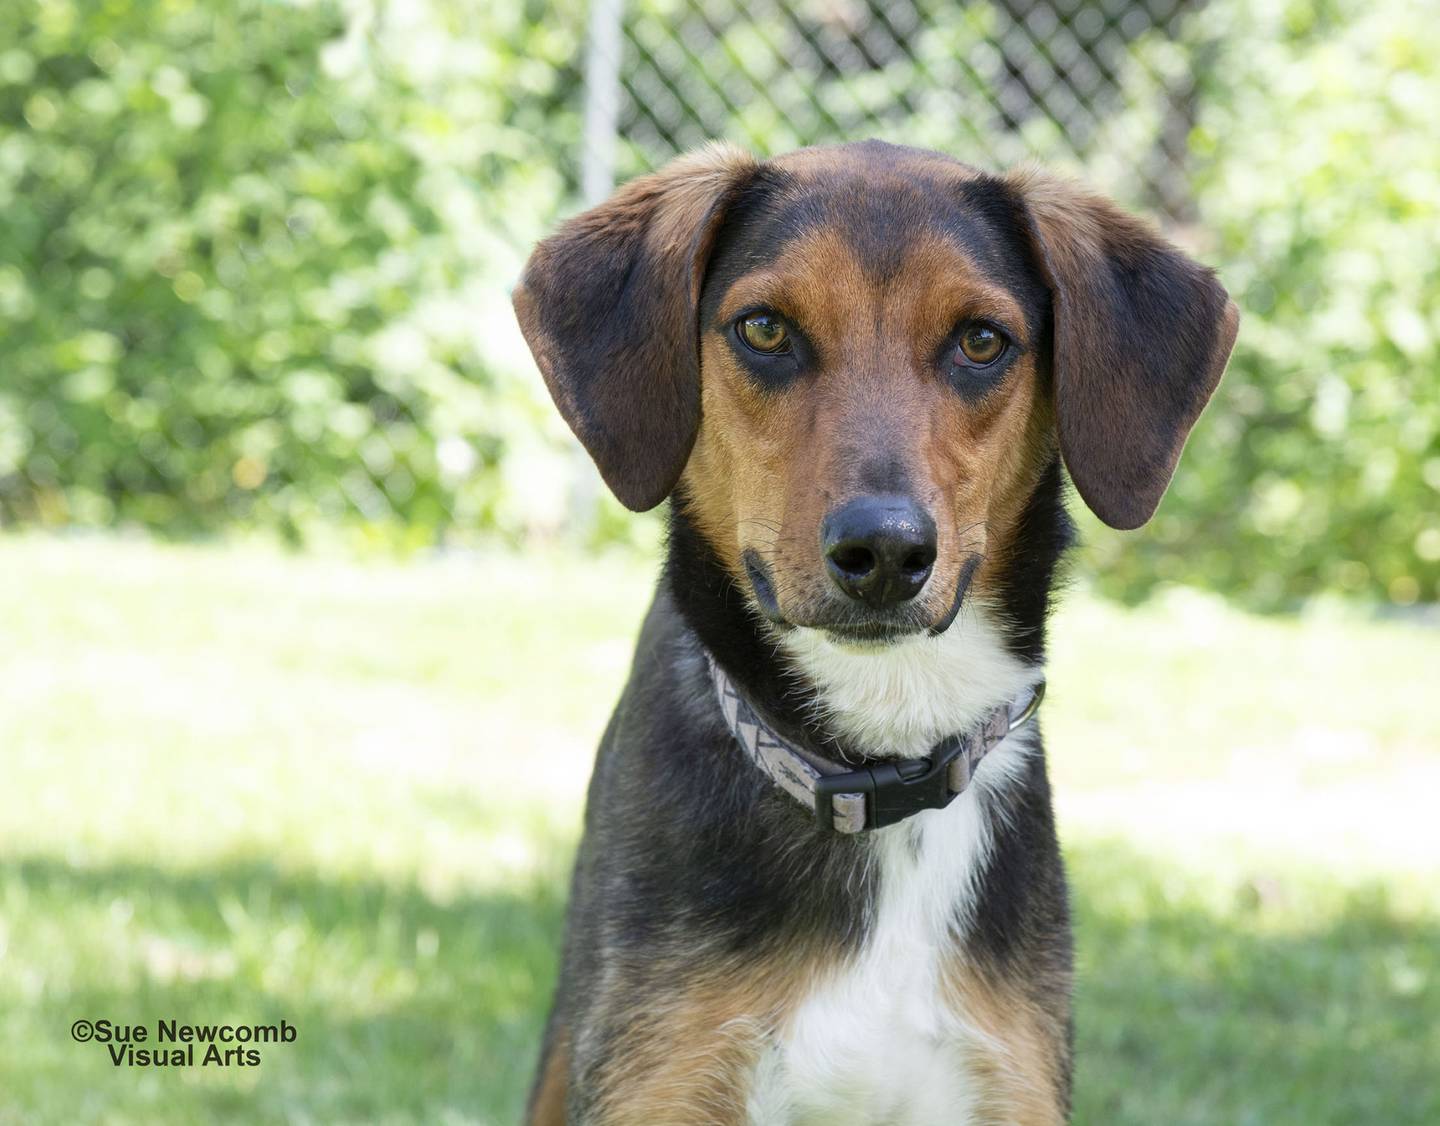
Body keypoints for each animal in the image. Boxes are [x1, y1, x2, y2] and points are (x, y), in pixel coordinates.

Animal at [509, 141, 1238, 1126]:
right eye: (765, 329)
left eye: (982, 341)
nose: (886, 551)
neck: (881, 757)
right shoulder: (661, 1082)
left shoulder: (1007, 1082)